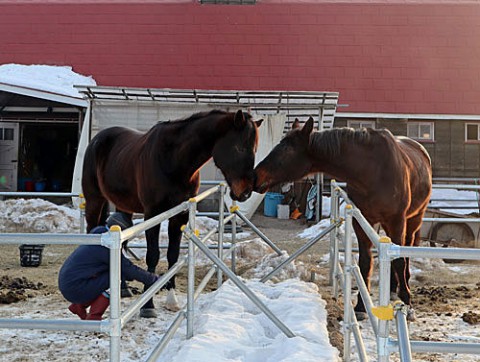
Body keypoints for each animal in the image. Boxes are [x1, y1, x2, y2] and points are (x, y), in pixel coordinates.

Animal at [82, 109, 262, 316]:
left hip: (123, 208)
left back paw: (124, 288)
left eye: (255, 149)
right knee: (91, 231)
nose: (246, 192)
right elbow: (153, 255)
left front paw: (171, 299)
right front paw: (148, 305)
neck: (173, 160)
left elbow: (173, 256)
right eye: (239, 148)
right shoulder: (153, 214)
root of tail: (97, 140)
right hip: (94, 200)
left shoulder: (179, 216)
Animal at [255, 117, 432, 318]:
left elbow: (400, 261)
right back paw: (393, 289)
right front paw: (361, 306)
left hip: (414, 218)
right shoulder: (361, 221)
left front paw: (408, 304)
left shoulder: (397, 221)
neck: (373, 170)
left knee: (407, 249)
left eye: (287, 149)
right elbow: (365, 262)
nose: (255, 175)